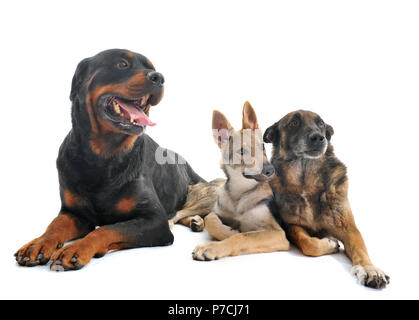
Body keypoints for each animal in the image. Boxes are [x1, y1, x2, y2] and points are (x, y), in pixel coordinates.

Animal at [16, 49, 205, 270]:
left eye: (152, 68)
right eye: (122, 64)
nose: (159, 77)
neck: (103, 157)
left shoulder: (155, 220)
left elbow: (108, 229)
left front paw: (76, 249)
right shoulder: (73, 212)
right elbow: (55, 225)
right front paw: (37, 244)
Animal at [192, 101, 290, 262]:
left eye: (263, 146)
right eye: (242, 152)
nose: (270, 170)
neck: (241, 193)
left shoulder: (278, 233)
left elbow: (242, 237)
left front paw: (213, 246)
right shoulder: (218, 211)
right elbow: (211, 219)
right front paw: (229, 230)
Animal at [266, 110, 390, 288]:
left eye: (321, 124)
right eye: (293, 123)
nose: (318, 137)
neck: (307, 180)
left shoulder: (349, 228)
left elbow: (360, 248)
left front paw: (369, 269)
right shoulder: (292, 225)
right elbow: (308, 243)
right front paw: (329, 243)